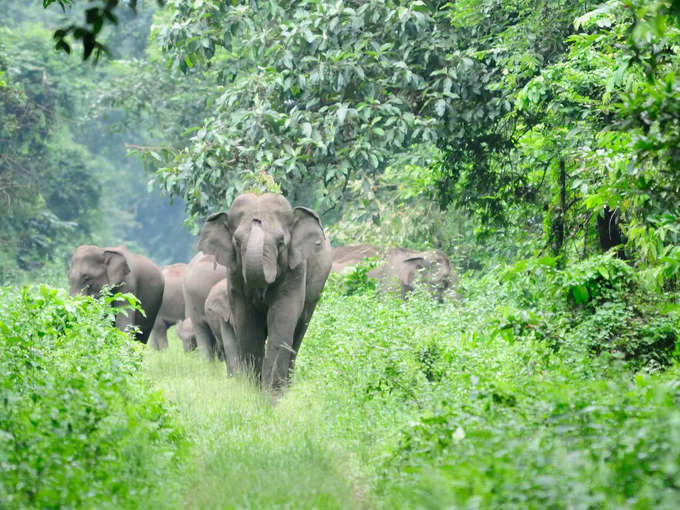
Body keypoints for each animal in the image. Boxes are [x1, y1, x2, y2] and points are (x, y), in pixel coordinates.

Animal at [197, 192, 332, 390]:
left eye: (281, 242)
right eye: (237, 242)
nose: (257, 220)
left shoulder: (296, 269)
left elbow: (282, 318)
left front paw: (272, 395)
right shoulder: (234, 274)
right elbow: (247, 322)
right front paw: (253, 391)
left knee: (299, 331)